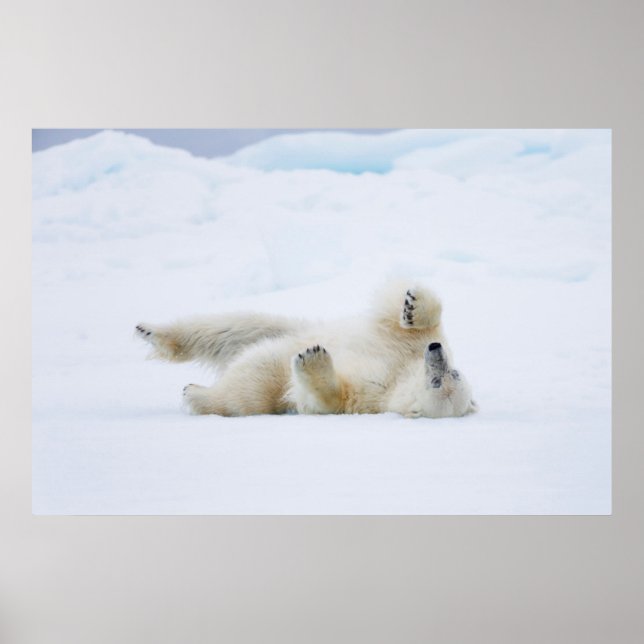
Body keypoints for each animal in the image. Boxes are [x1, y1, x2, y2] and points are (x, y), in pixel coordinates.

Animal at [135, 281, 477, 418]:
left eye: (440, 381)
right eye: (454, 372)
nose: (435, 352)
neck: (400, 376)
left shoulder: (370, 395)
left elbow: (326, 398)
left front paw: (313, 359)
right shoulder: (403, 346)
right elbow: (408, 322)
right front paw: (413, 305)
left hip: (265, 377)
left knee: (247, 390)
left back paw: (196, 392)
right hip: (284, 326)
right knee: (231, 327)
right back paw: (151, 331)